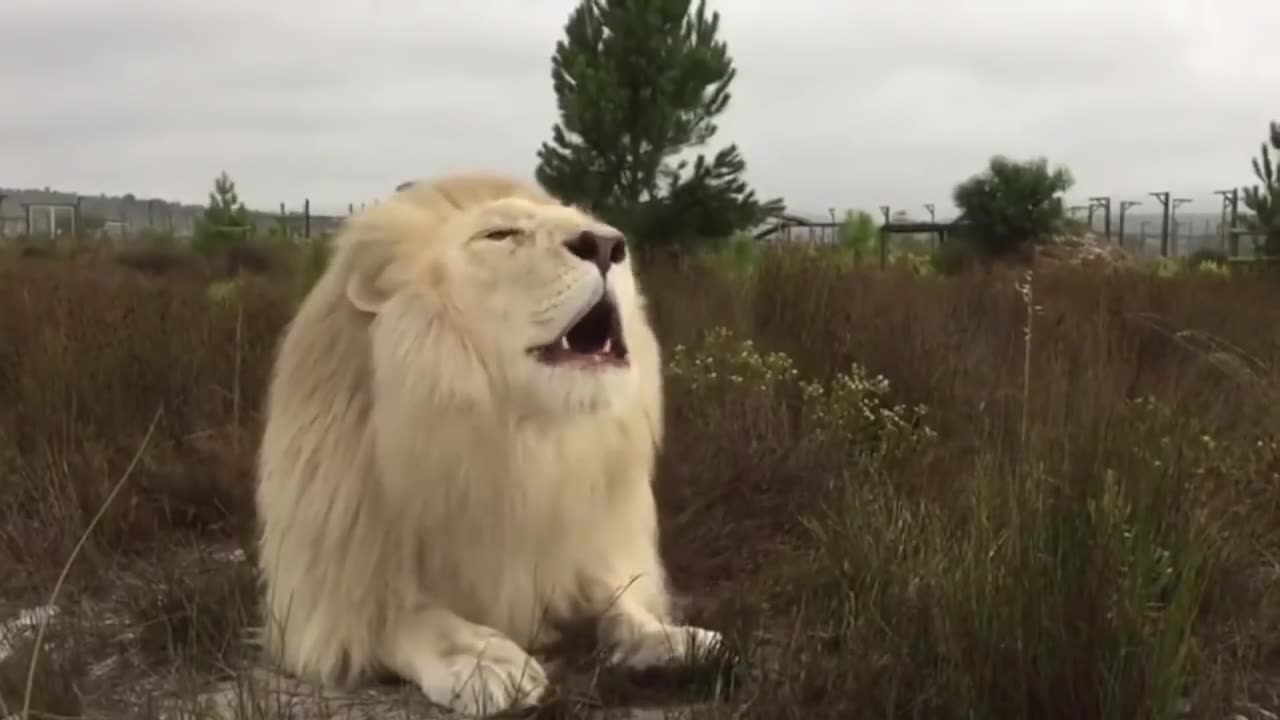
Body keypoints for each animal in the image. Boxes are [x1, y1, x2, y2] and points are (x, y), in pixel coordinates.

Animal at [254, 172, 727, 712]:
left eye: (598, 231)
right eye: (500, 235)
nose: (609, 245)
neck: (519, 439)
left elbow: (618, 600)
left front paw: (672, 639)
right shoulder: (327, 589)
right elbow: (405, 615)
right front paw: (485, 663)